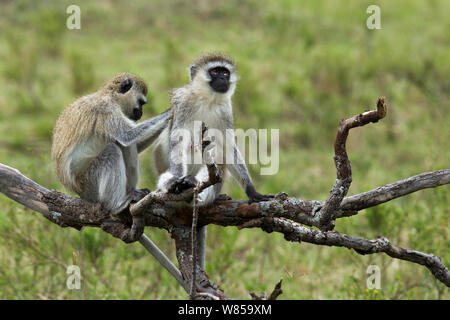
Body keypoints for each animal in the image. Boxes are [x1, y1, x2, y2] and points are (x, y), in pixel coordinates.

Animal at [51, 72, 171, 240]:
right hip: (89, 183)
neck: (110, 97)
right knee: (112, 150)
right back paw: (117, 204)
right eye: (141, 103)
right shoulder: (106, 110)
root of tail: (80, 193)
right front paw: (172, 110)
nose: (140, 112)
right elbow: (127, 135)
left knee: (122, 146)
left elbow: (133, 142)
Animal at [155, 53, 272, 268]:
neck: (207, 100)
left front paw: (252, 191)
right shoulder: (183, 102)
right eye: (215, 71)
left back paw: (196, 192)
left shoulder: (226, 110)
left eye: (225, 72)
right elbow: (177, 142)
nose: (223, 79)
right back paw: (178, 185)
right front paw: (175, 179)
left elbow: (228, 148)